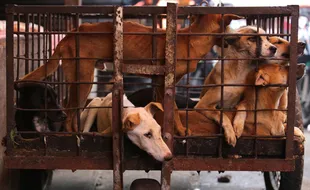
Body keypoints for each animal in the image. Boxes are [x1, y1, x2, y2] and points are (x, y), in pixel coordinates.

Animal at [20, 13, 245, 135]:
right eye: (230, 27)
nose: (233, 40)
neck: (189, 39)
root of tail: (69, 35)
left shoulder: (158, 85)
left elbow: (162, 109)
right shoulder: (165, 83)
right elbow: (172, 108)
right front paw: (181, 131)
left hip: (79, 78)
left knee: (70, 106)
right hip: (83, 79)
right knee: (69, 109)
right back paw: (74, 135)